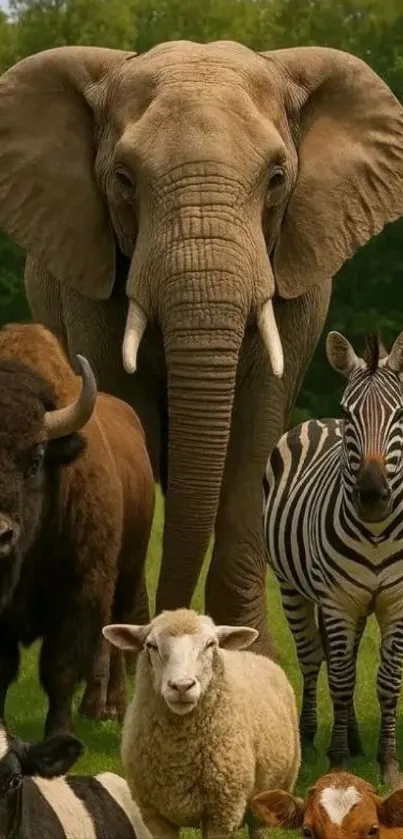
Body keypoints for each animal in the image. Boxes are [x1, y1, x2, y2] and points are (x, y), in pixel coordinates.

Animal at [0, 41, 402, 657]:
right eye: (124, 180)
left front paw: (253, 658)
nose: (167, 632)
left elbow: (257, 426)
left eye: (277, 178)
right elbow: (127, 407)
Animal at [103, 607, 301, 839]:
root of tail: (253, 654)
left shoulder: (221, 815)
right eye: (151, 646)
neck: (178, 756)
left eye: (210, 644)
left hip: (265, 801)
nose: (181, 686)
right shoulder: (156, 816)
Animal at [263, 328, 403, 788]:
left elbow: (386, 681)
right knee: (312, 659)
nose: (372, 495)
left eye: (401, 414)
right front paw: (339, 760)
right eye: (349, 412)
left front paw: (387, 763)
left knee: (349, 656)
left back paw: (357, 740)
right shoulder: (338, 601)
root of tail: (319, 422)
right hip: (293, 588)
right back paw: (309, 739)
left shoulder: (395, 602)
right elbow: (340, 679)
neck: (376, 533)